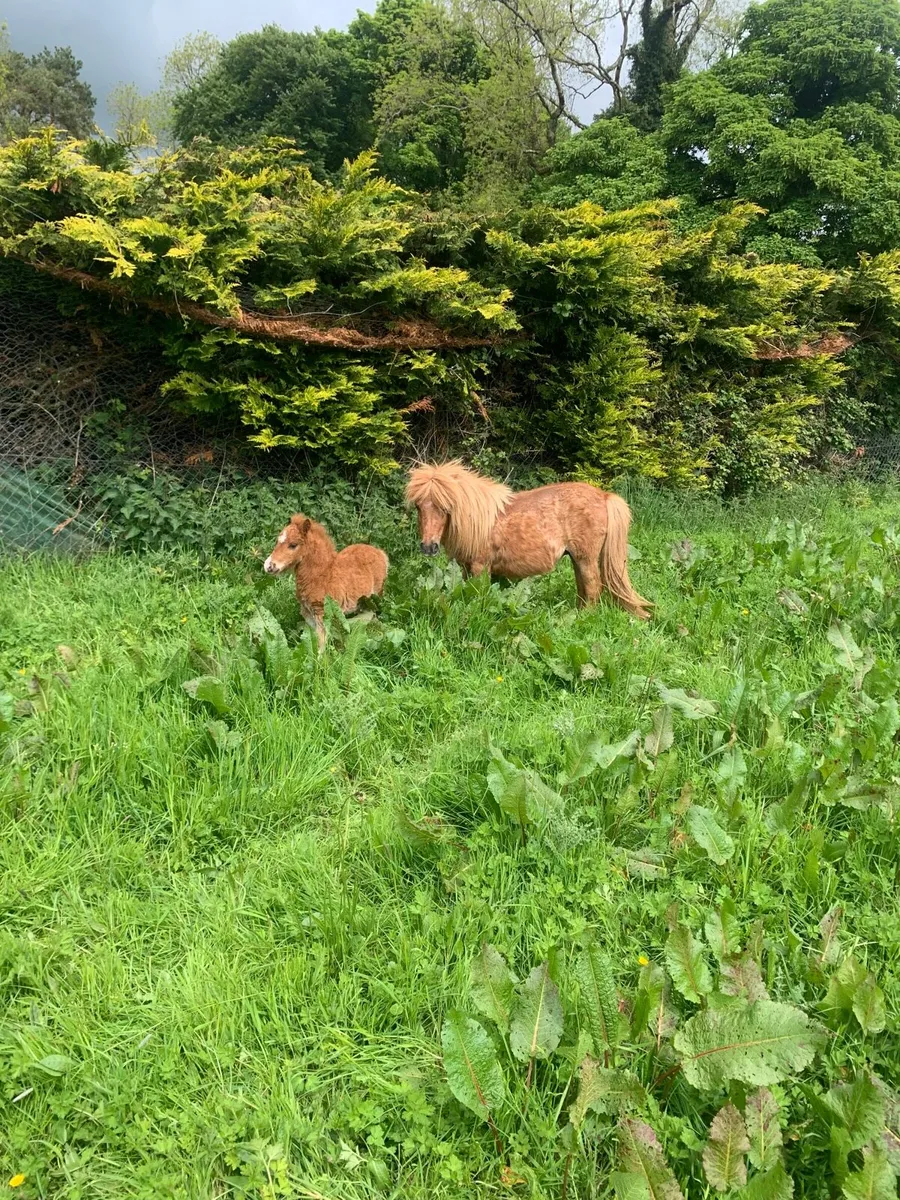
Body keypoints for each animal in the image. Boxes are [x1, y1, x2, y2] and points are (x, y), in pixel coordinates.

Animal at [263, 514, 389, 648]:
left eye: (293, 545)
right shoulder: (309, 615)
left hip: (376, 597)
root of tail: (379, 552)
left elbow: (322, 646)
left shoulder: (323, 615)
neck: (322, 575)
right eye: (277, 541)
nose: (268, 566)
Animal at [405, 460, 651, 618]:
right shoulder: (465, 568)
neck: (480, 521)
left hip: (586, 558)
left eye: (444, 507)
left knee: (592, 590)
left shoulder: (480, 567)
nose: (428, 547)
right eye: (418, 506)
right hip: (577, 559)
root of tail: (604, 496)